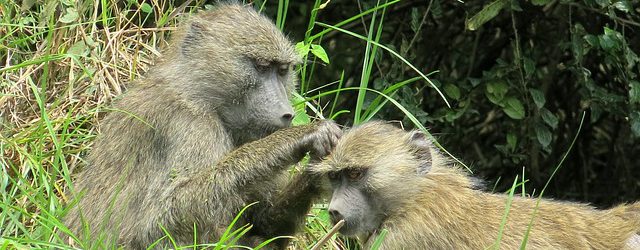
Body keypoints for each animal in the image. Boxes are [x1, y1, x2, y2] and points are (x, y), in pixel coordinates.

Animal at [62, 2, 342, 249]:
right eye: (261, 67)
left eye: (283, 70)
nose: (287, 114)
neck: (198, 94)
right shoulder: (190, 124)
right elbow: (159, 218)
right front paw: (300, 136)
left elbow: (263, 229)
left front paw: (321, 172)